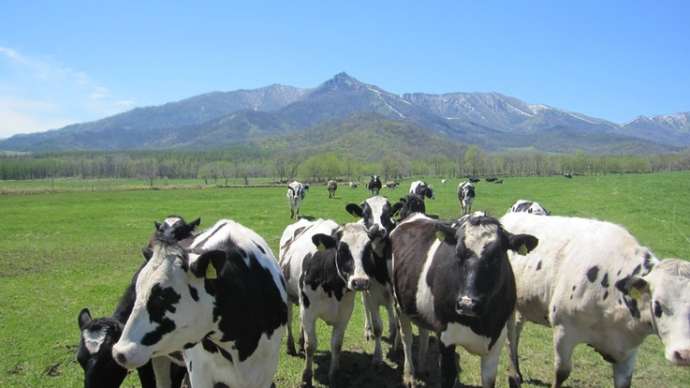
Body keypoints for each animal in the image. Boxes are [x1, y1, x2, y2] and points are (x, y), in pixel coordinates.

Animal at [280, 217, 384, 386]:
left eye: (369, 250)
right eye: (341, 250)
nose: (360, 282)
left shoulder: (345, 313)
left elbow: (336, 345)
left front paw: (334, 375)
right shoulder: (308, 310)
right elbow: (311, 345)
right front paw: (306, 377)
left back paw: (300, 342)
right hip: (289, 295)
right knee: (289, 321)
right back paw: (291, 347)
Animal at [390, 212, 536, 388]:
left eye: (496, 256)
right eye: (458, 254)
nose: (467, 304)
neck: (480, 325)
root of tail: (414, 216)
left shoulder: (495, 343)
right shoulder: (445, 338)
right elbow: (448, 377)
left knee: (423, 332)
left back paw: (422, 368)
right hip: (399, 303)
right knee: (407, 337)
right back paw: (409, 375)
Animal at [498, 212, 688, 388]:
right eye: (657, 304)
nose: (684, 354)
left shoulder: (629, 350)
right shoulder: (563, 330)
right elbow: (561, 373)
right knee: (511, 337)